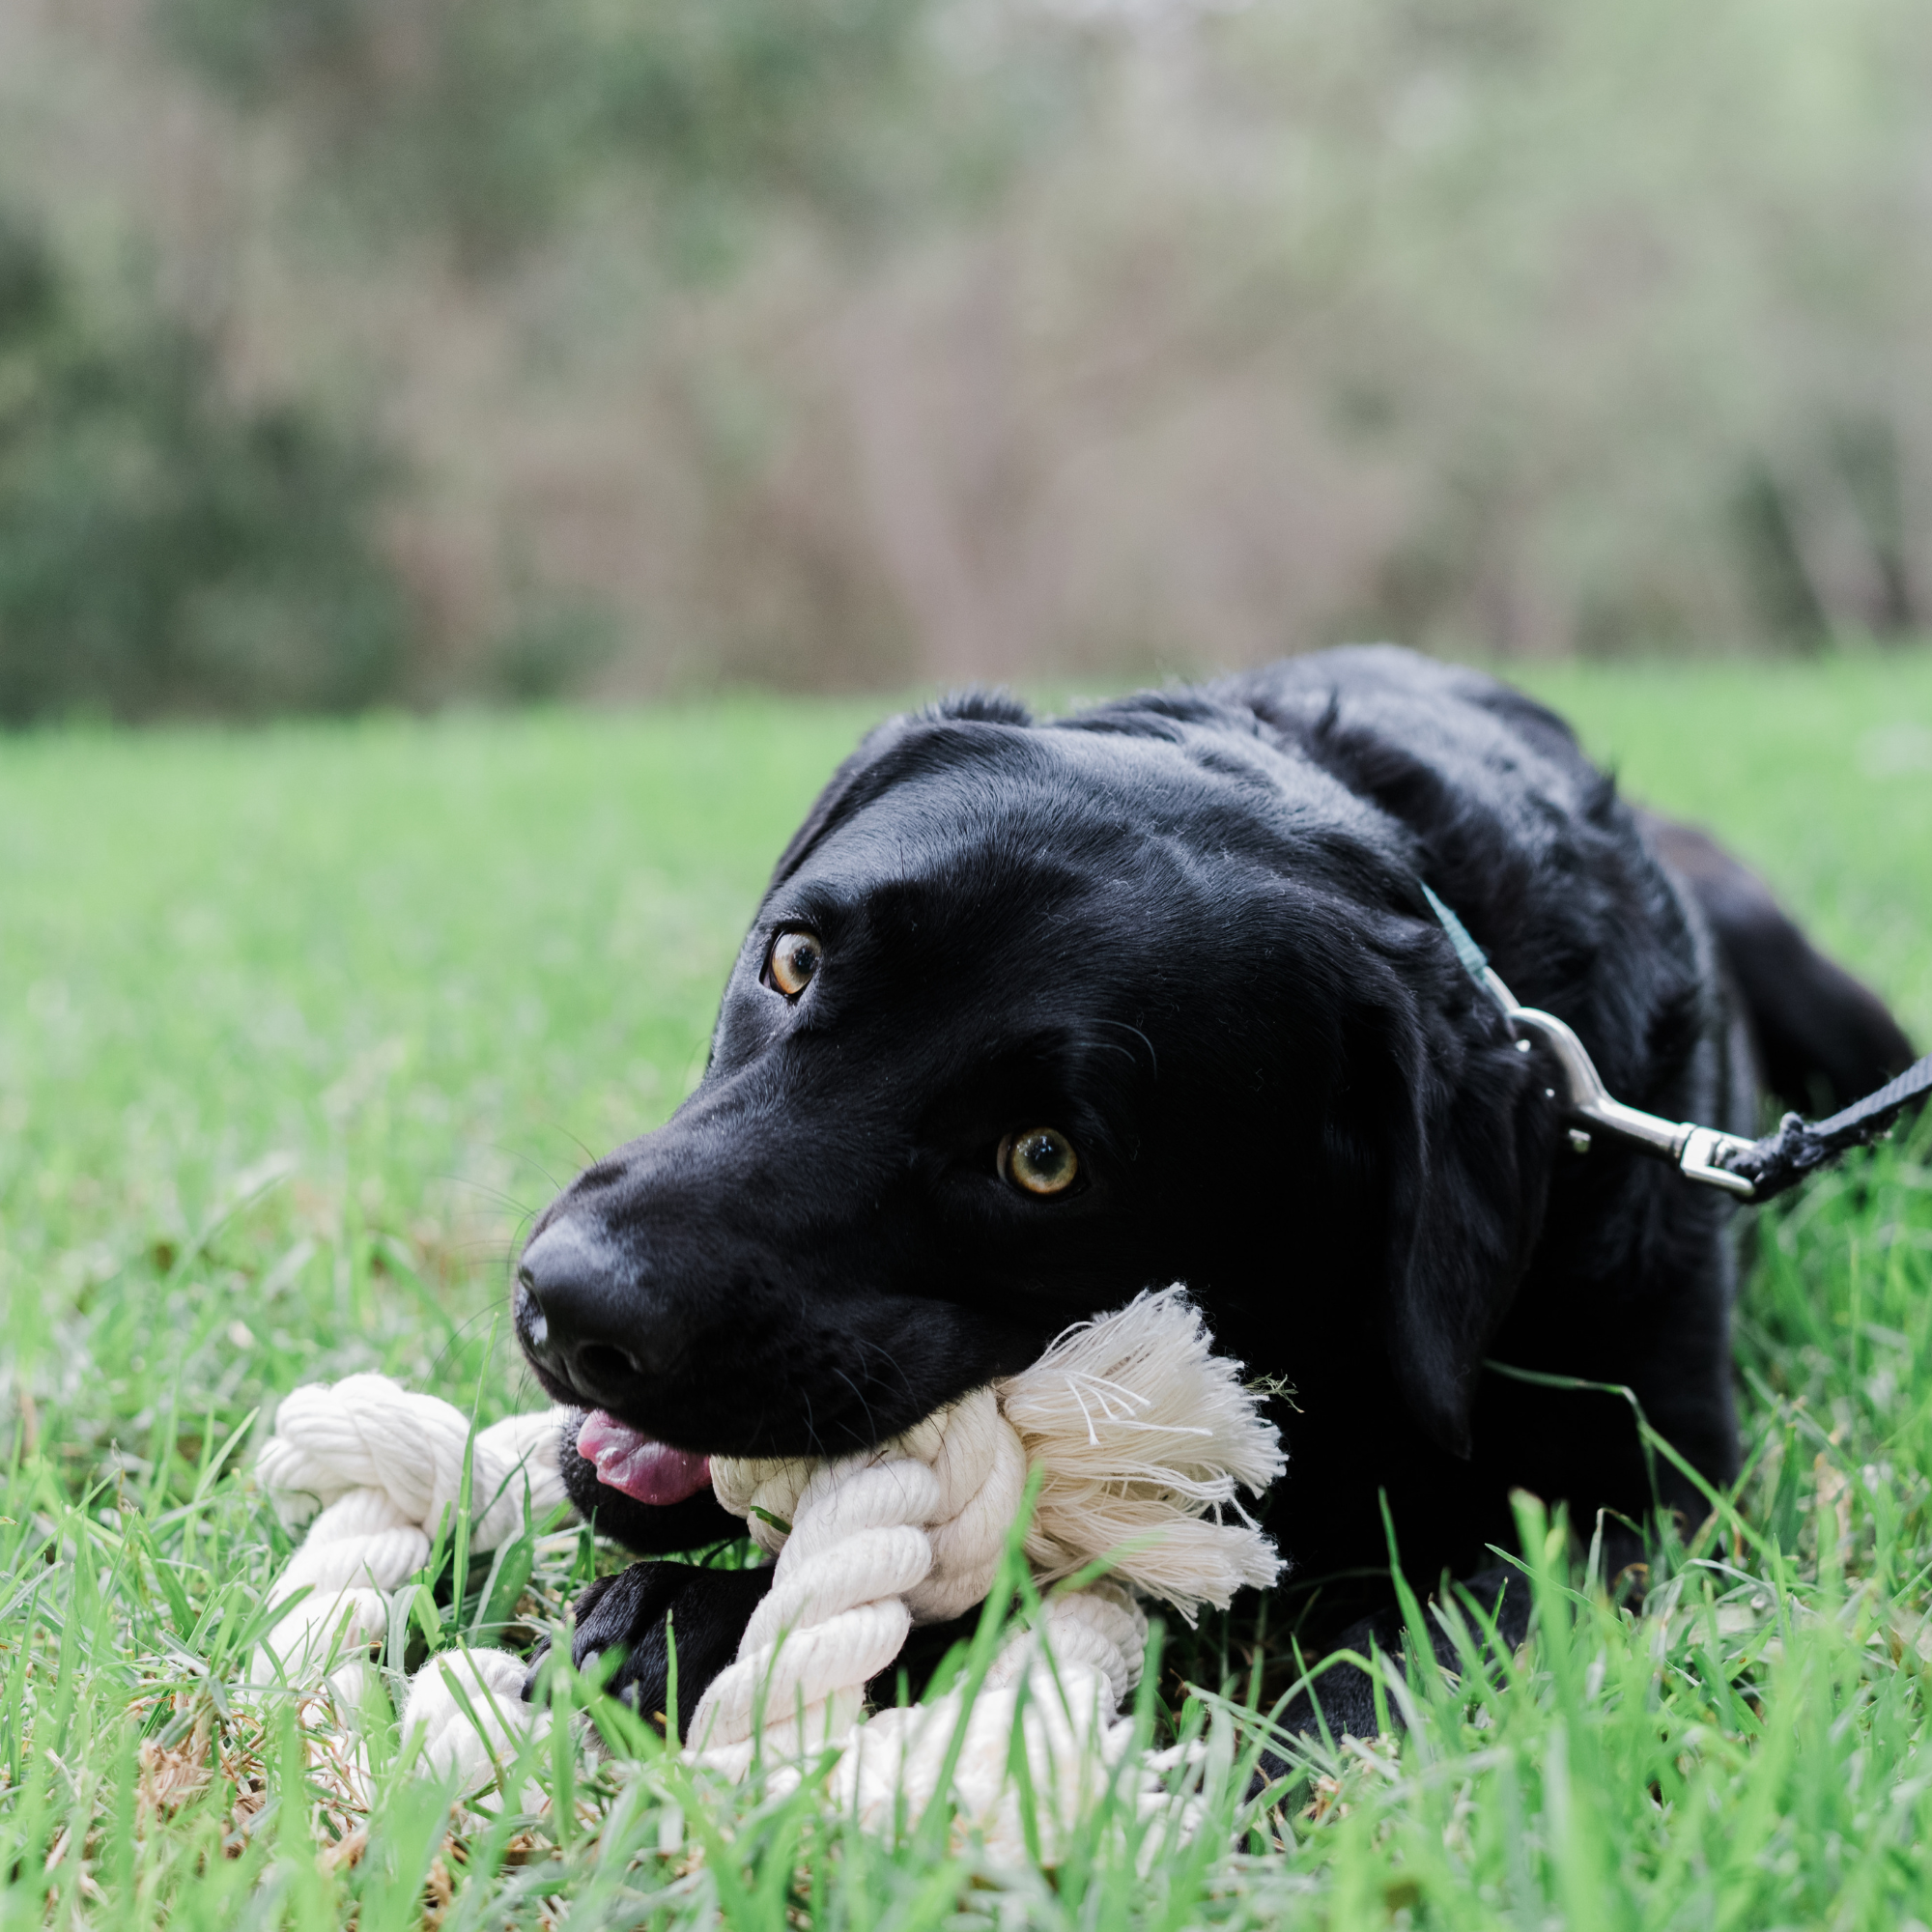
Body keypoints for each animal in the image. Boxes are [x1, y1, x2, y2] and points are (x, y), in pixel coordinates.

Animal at [510, 649, 1901, 1739]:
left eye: (1044, 1158)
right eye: (793, 960)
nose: (571, 1310)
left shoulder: (1645, 1494)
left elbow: (1417, 1655)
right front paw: (691, 1616)